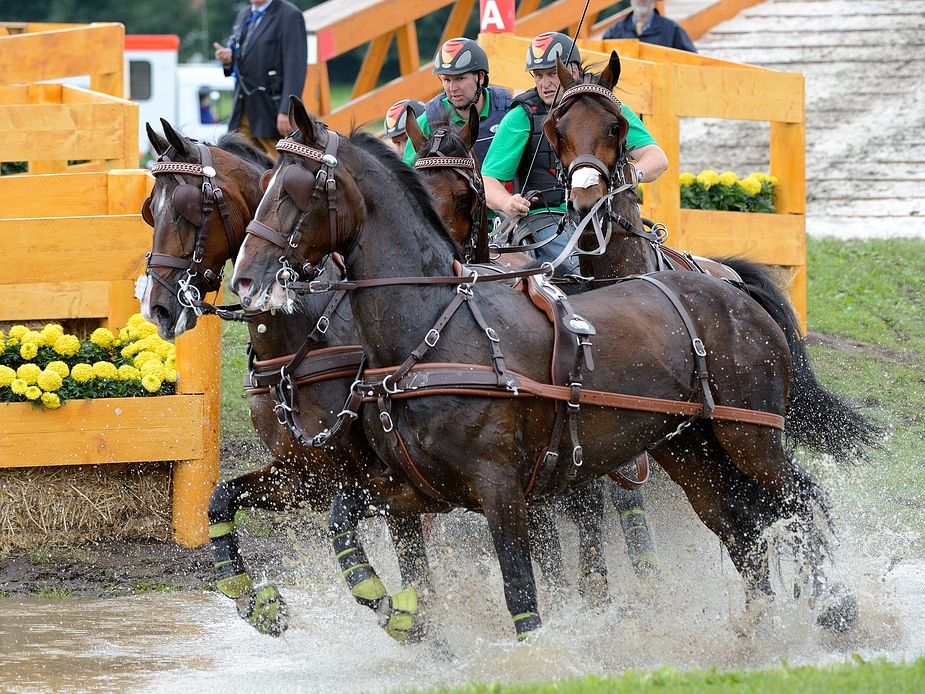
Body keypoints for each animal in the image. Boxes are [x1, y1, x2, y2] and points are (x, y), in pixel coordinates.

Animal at [139, 119, 438, 640]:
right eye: (148, 211)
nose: (156, 307)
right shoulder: (305, 476)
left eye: (185, 208)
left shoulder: (380, 475)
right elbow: (220, 498)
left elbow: (406, 553)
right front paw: (253, 598)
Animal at [227, 96, 864, 640]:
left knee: (802, 500)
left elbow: (520, 592)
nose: (246, 281)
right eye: (263, 187)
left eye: (298, 191)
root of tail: (731, 290)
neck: (434, 330)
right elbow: (350, 533)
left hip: (749, 435)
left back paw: (836, 606)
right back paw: (755, 628)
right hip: (692, 449)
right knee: (743, 526)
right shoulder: (404, 486)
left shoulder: (501, 489)